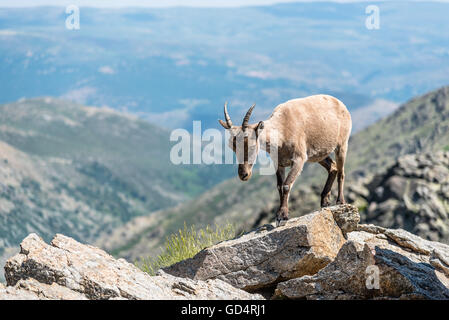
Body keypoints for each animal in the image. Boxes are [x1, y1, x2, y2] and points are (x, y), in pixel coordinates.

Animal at [219, 94, 352, 226]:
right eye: (232, 147)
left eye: (252, 146)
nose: (244, 175)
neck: (282, 130)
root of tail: (341, 104)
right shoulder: (279, 163)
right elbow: (279, 186)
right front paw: (280, 215)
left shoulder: (299, 159)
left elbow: (286, 185)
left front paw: (282, 216)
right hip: (318, 154)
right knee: (333, 167)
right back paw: (325, 201)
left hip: (341, 145)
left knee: (341, 173)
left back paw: (340, 201)